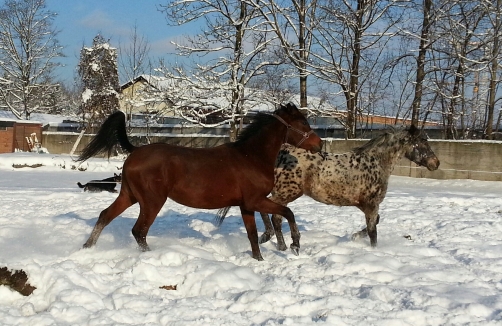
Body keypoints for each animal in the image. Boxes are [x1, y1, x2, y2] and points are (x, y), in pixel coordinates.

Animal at [78, 103, 322, 262]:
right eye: (303, 121)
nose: (320, 144)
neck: (251, 156)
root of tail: (135, 151)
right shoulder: (256, 200)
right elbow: (288, 212)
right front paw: (295, 244)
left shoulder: (246, 206)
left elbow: (252, 235)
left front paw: (259, 259)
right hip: (152, 202)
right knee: (139, 231)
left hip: (129, 196)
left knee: (105, 216)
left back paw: (87, 248)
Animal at [258, 125, 440, 252]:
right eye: (422, 141)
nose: (435, 163)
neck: (375, 163)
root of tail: (281, 153)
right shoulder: (372, 204)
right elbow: (373, 231)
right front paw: (373, 249)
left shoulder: (363, 204)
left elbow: (375, 222)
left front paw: (355, 236)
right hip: (286, 193)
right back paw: (273, 238)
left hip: (285, 195)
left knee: (277, 217)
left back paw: (281, 245)